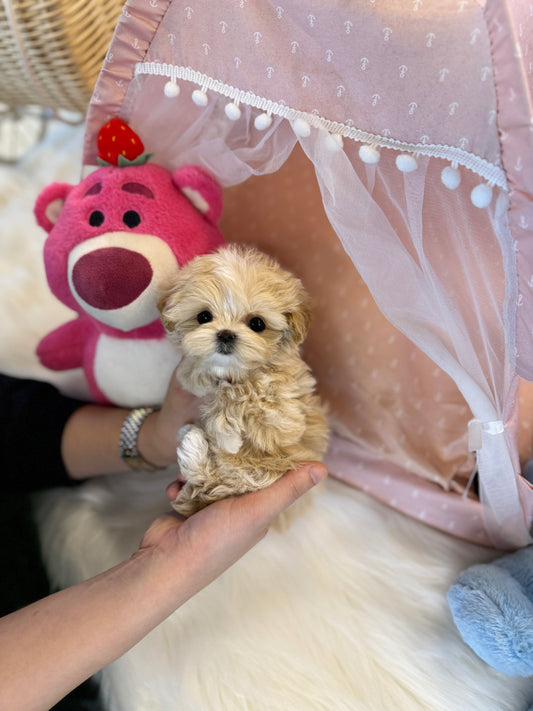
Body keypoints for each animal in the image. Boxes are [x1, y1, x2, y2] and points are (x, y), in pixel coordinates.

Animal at [157, 245, 328, 516]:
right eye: (203, 317)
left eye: (257, 323)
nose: (225, 334)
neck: (234, 371)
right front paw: (198, 375)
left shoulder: (283, 418)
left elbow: (243, 392)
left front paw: (225, 430)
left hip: (264, 469)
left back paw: (192, 441)